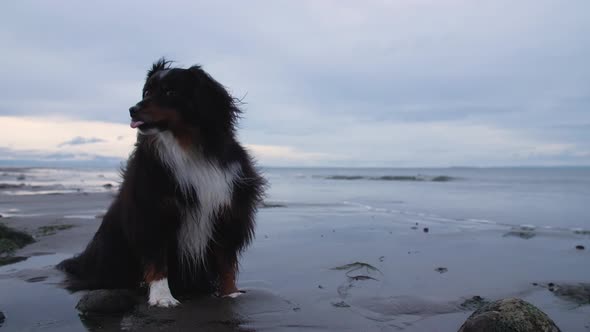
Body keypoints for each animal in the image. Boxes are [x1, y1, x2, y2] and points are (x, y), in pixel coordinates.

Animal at [57, 58, 266, 308]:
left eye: (170, 92)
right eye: (147, 92)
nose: (132, 109)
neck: (188, 148)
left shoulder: (227, 211)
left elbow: (225, 260)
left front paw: (230, 293)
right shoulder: (151, 211)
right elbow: (157, 258)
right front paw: (162, 296)